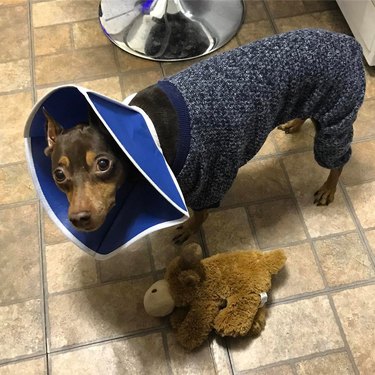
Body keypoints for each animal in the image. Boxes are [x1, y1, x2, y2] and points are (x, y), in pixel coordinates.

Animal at [41, 30, 368, 245]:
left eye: (103, 164)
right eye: (59, 175)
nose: (78, 219)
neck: (150, 131)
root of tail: (350, 42)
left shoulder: (208, 178)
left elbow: (201, 213)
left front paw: (190, 229)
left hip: (336, 117)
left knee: (339, 159)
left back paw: (328, 188)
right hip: (316, 100)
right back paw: (295, 123)